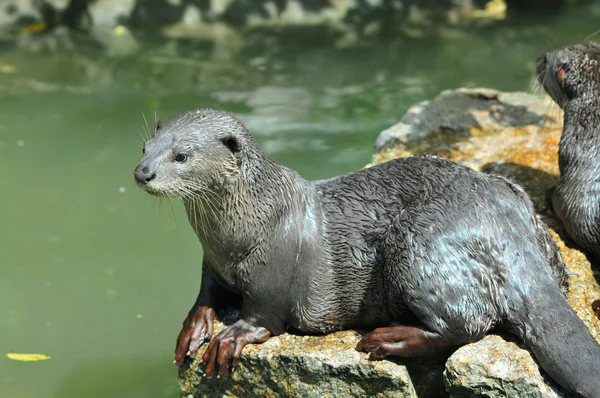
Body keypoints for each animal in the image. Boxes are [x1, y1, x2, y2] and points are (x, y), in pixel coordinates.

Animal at [135, 109, 600, 398]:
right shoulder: (211, 263)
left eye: (182, 155)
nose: (142, 173)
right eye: (145, 147)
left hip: (418, 248)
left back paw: (388, 338)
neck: (239, 230)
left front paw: (229, 339)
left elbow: (263, 316)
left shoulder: (273, 270)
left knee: (468, 324)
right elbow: (205, 295)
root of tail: (506, 229)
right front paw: (192, 327)